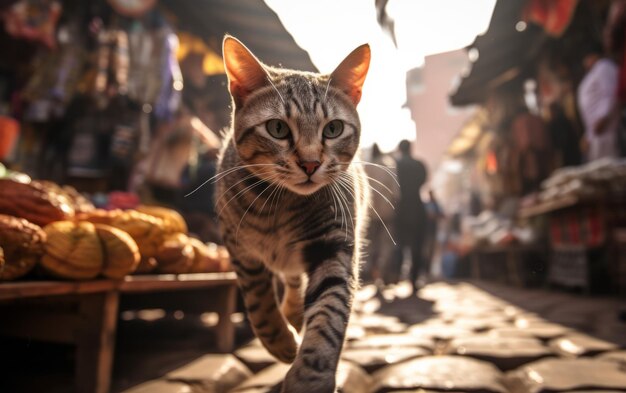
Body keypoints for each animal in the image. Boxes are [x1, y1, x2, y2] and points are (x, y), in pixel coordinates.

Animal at [216, 35, 368, 390]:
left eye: (333, 129)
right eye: (277, 128)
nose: (310, 164)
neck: (281, 206)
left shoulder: (334, 244)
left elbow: (329, 311)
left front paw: (311, 374)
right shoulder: (240, 249)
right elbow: (259, 304)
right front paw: (282, 343)